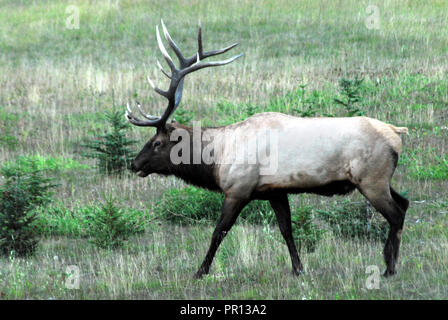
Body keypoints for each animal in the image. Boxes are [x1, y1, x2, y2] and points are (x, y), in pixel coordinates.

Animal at [126, 21, 410, 278]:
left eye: (157, 142)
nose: (134, 164)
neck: (218, 159)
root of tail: (397, 133)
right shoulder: (275, 191)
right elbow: (286, 229)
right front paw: (298, 269)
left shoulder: (237, 189)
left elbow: (218, 232)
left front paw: (200, 271)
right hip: (380, 179)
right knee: (404, 203)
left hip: (371, 179)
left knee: (395, 214)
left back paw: (389, 267)